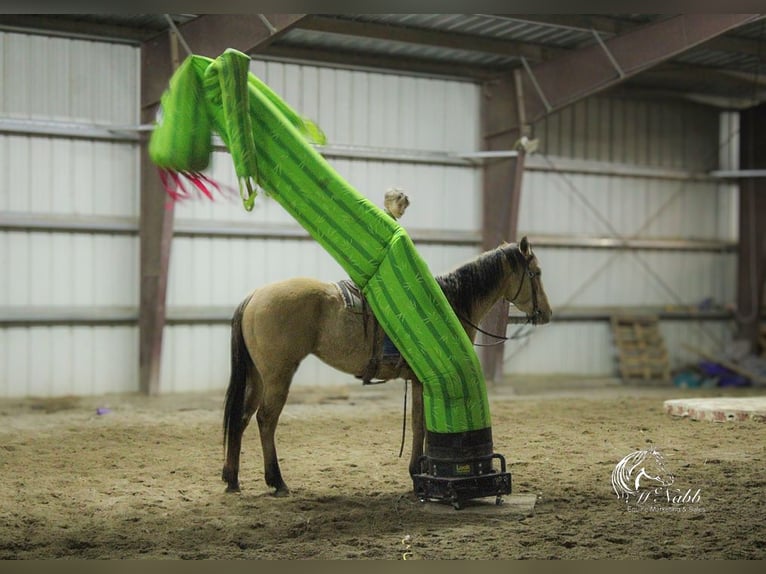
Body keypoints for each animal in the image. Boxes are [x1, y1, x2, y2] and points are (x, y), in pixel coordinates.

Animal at [222, 237, 552, 496]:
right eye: (535, 272)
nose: (546, 313)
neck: (449, 304)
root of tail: (255, 296)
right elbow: (421, 425)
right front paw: (417, 473)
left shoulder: (421, 381)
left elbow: (419, 423)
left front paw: (418, 471)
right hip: (278, 376)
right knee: (266, 420)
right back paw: (276, 482)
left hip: (258, 377)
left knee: (241, 418)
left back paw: (232, 479)